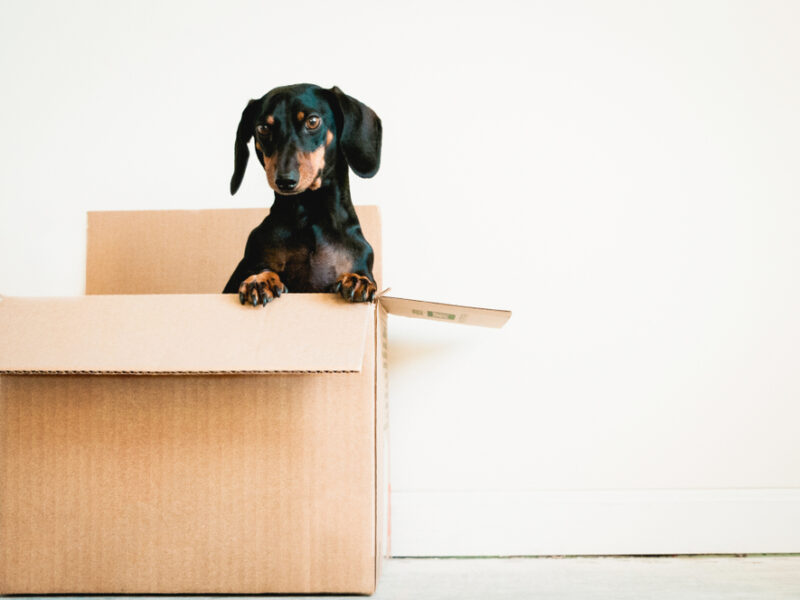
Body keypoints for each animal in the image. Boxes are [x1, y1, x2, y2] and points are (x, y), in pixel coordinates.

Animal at [220, 84, 380, 304]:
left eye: (312, 121)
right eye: (263, 128)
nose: (285, 181)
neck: (310, 215)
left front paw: (357, 280)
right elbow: (261, 269)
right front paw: (260, 280)